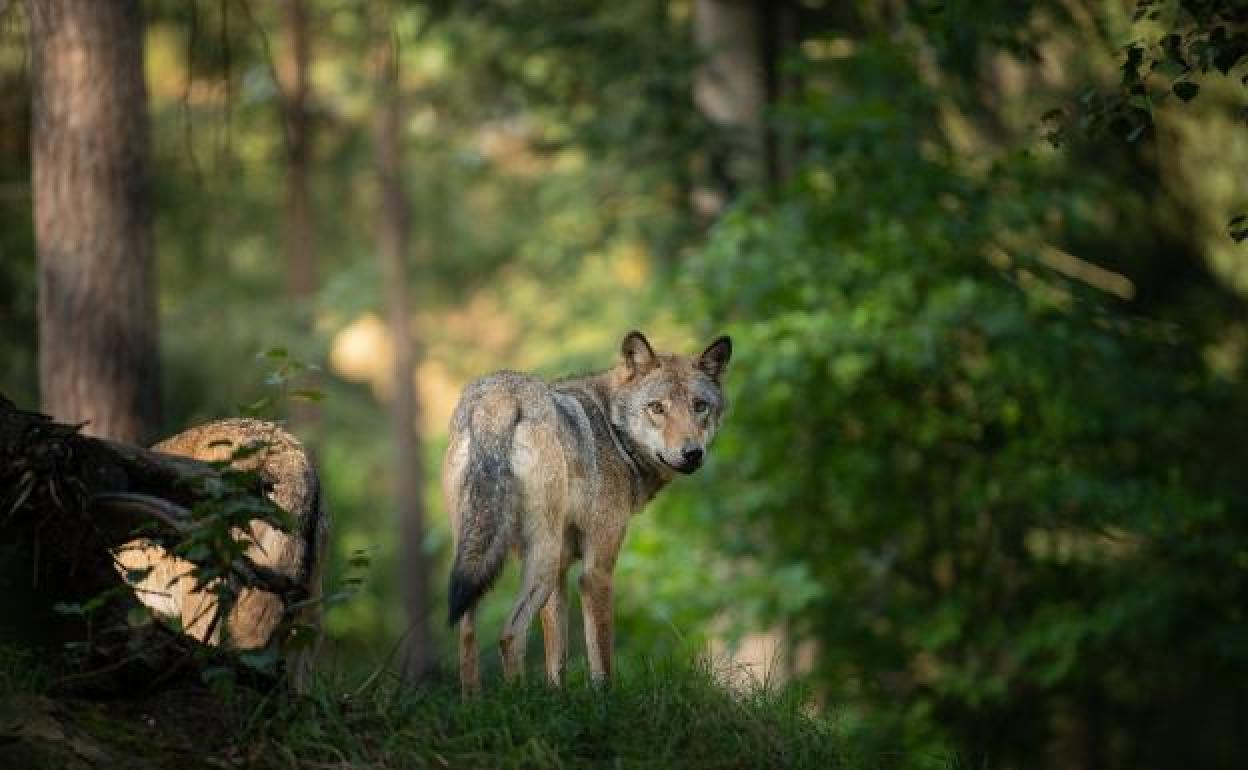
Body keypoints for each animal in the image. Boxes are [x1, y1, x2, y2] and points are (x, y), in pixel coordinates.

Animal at [443, 330, 732, 692]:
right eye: (657, 408)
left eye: (700, 406)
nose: (692, 453)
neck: (613, 431)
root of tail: (499, 396)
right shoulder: (596, 572)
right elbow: (602, 661)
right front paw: (604, 701)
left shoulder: (561, 574)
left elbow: (558, 661)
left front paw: (557, 698)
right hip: (542, 559)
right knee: (510, 635)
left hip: (478, 560)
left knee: (466, 636)